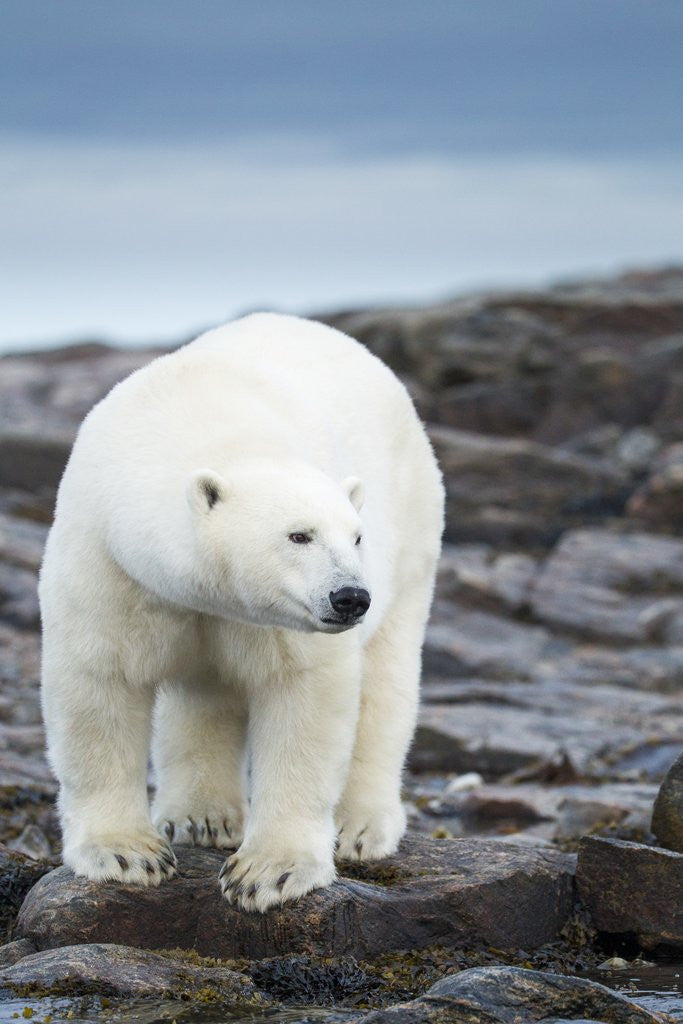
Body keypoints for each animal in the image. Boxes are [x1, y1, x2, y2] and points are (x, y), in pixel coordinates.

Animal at [39, 312, 444, 912]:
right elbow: (100, 681)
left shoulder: (284, 622)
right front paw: (127, 855)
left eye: (356, 536)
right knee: (204, 692)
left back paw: (360, 825)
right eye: (299, 535)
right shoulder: (111, 563)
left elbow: (305, 697)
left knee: (386, 682)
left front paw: (269, 872)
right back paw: (200, 816)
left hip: (413, 537)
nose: (350, 597)